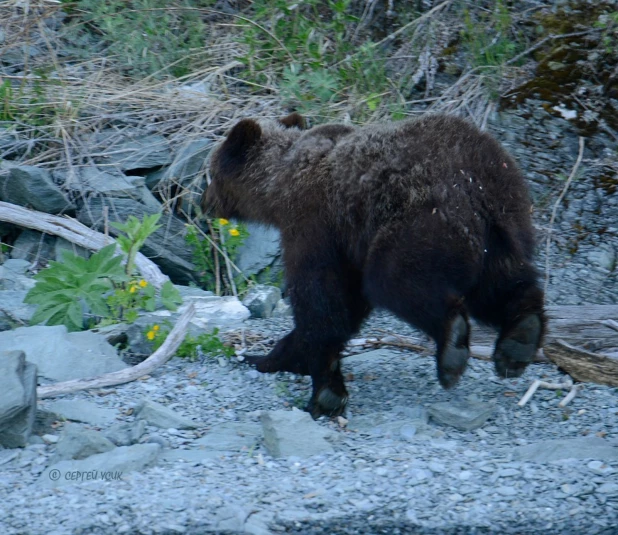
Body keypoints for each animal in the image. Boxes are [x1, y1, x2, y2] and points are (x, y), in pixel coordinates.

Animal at [201, 113, 544, 418]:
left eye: (211, 173)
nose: (202, 202)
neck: (280, 185)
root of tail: (477, 179)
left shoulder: (316, 224)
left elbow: (321, 300)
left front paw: (324, 391)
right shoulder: (349, 245)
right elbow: (346, 306)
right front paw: (272, 356)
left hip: (421, 222)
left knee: (396, 282)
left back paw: (453, 346)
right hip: (501, 227)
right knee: (502, 285)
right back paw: (520, 339)